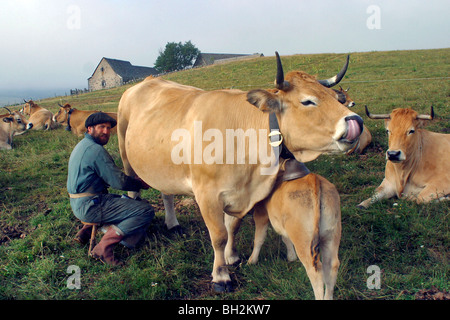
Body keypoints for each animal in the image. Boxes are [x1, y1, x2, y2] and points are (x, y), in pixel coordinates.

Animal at [246, 162, 342, 300]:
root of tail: (313, 178)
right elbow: (285, 238)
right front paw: (291, 257)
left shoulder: (261, 212)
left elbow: (259, 238)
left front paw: (252, 260)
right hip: (332, 235)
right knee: (331, 266)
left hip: (304, 241)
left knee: (315, 271)